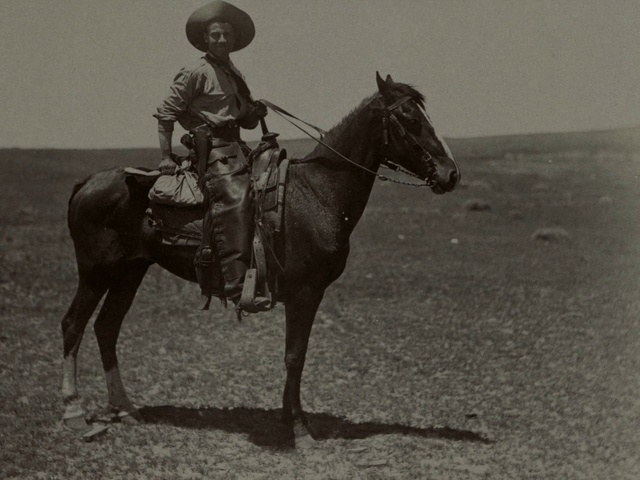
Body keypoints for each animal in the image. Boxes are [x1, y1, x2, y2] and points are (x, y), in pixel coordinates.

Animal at [60, 73, 460, 444]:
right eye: (410, 118)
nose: (451, 174)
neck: (317, 194)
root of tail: (86, 183)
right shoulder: (305, 293)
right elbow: (295, 356)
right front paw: (298, 425)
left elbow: (295, 356)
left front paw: (288, 419)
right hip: (95, 272)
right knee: (73, 325)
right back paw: (75, 413)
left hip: (129, 272)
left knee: (106, 328)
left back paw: (125, 409)